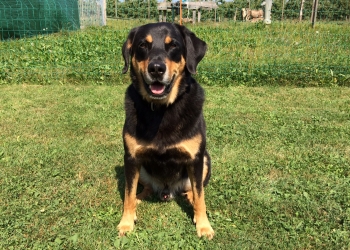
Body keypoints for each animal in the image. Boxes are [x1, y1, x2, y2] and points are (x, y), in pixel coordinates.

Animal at [117, 22, 213, 239]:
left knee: (194, 190)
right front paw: (126, 222)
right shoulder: (131, 158)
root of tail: (167, 190)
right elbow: (128, 193)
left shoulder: (196, 158)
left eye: (174, 45)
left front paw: (204, 226)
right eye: (143, 45)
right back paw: (140, 198)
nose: (156, 69)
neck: (162, 109)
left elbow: (201, 197)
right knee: (143, 188)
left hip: (206, 161)